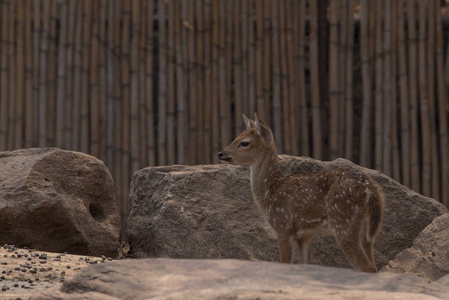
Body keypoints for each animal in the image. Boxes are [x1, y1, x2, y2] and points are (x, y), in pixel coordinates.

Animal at [218, 113, 384, 274]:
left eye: (244, 142)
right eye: (236, 136)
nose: (221, 153)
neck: (269, 193)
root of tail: (369, 191)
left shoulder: (283, 225)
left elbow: (284, 262)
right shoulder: (304, 235)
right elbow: (306, 264)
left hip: (343, 220)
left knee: (366, 266)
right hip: (367, 231)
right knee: (373, 264)